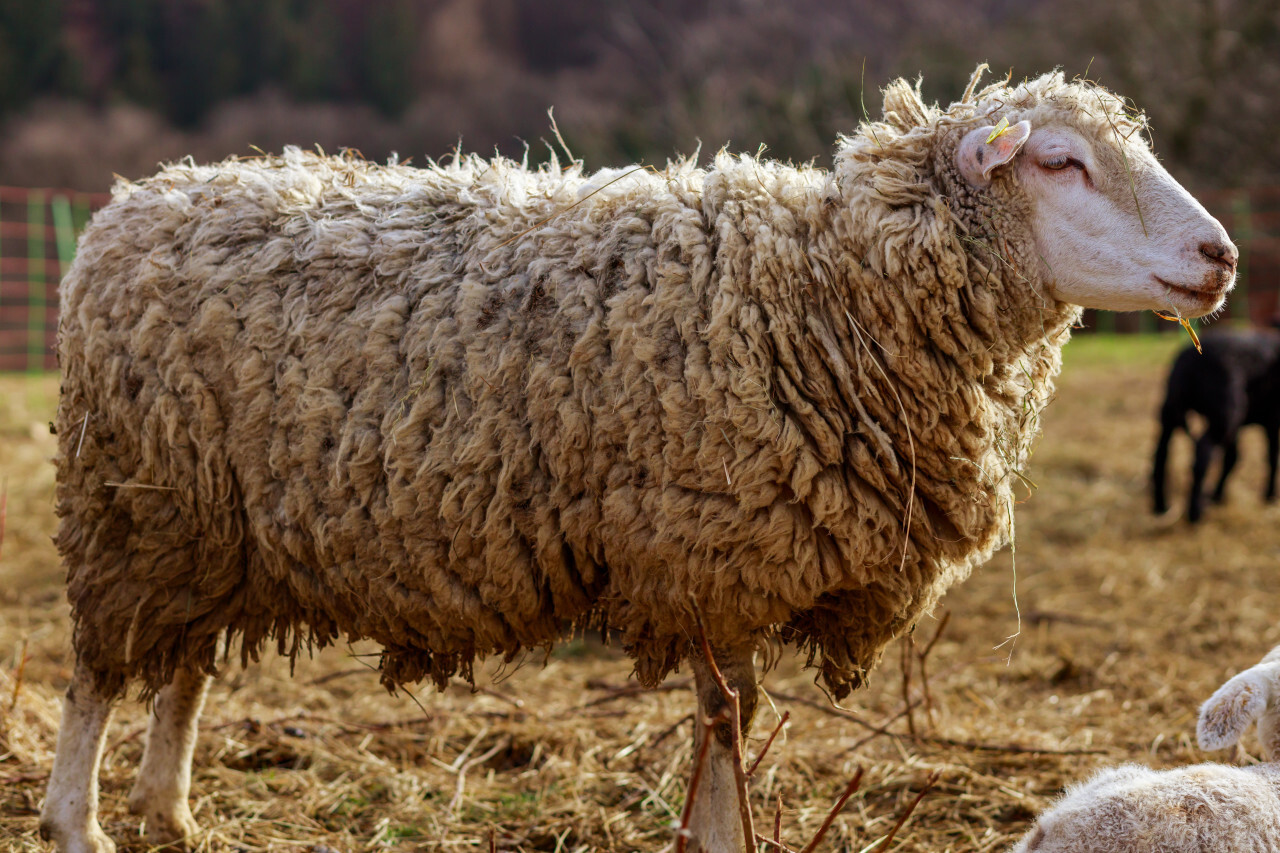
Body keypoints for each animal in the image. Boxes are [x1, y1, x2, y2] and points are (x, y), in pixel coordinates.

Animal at [40, 66, 1233, 850]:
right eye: (1059, 161)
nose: (1219, 255)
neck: (829, 290)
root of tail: (135, 203)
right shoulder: (706, 552)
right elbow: (725, 716)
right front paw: (721, 835)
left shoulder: (727, 566)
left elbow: (727, 713)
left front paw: (709, 833)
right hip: (131, 505)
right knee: (100, 670)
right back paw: (78, 819)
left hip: (208, 522)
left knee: (185, 666)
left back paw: (169, 810)